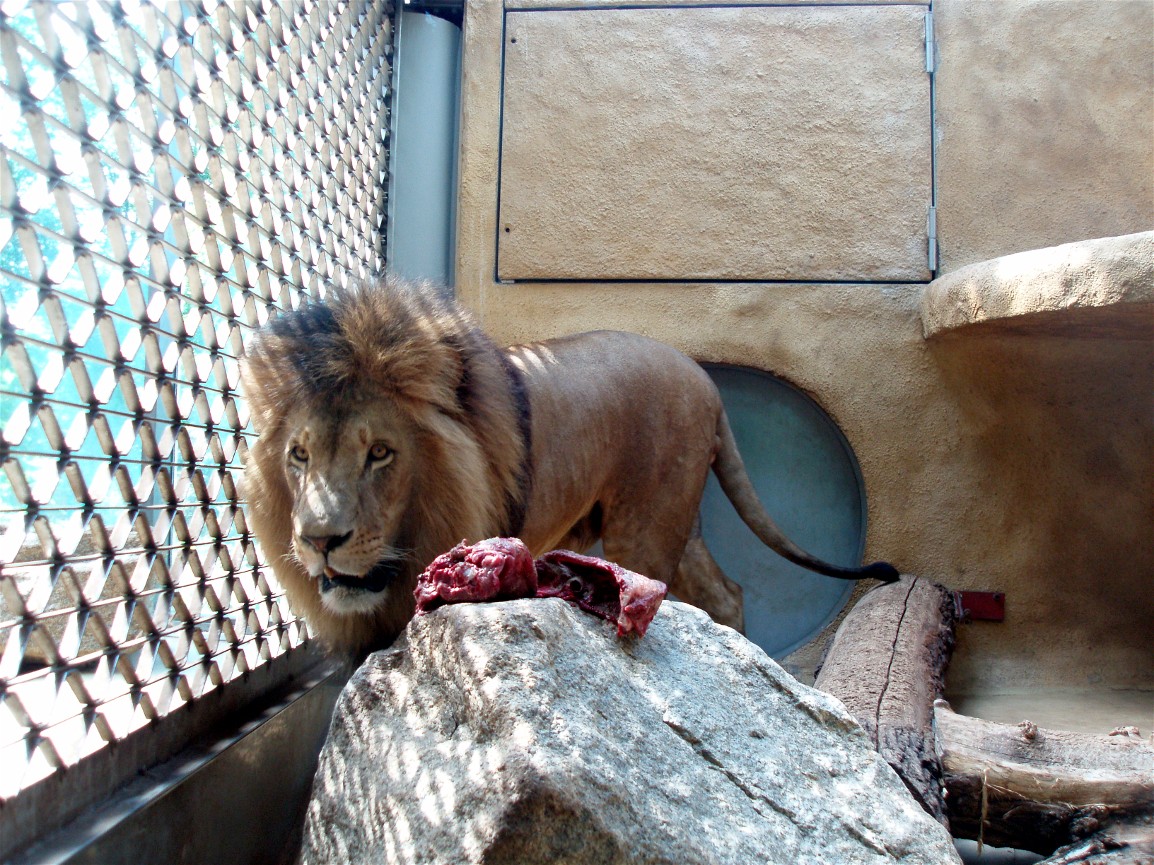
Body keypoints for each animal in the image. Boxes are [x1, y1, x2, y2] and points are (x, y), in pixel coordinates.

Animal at [240, 276, 898, 654]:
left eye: (379, 452)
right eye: (299, 455)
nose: (319, 541)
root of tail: (706, 383)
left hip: (644, 529)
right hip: (675, 519)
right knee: (729, 592)